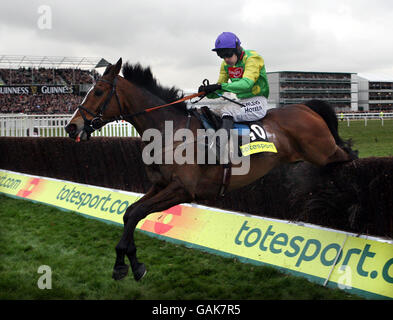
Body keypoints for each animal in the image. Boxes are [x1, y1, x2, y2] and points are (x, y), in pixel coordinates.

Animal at [65, 58, 356, 282]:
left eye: (98, 92)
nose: (71, 126)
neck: (169, 132)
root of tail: (305, 107)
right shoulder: (160, 185)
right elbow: (129, 213)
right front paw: (128, 264)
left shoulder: (183, 190)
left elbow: (137, 213)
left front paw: (127, 265)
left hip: (324, 151)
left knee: (349, 154)